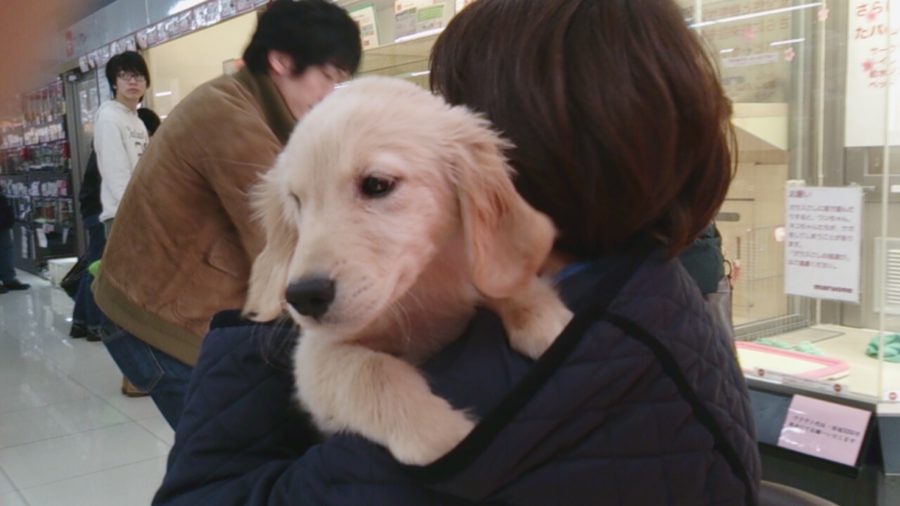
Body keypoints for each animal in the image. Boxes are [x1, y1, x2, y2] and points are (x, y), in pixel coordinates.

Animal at [243, 75, 572, 466]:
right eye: (296, 201)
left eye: (377, 184)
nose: (303, 296)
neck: (419, 292)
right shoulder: (313, 355)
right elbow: (368, 369)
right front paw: (438, 432)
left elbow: (500, 278)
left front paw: (544, 317)